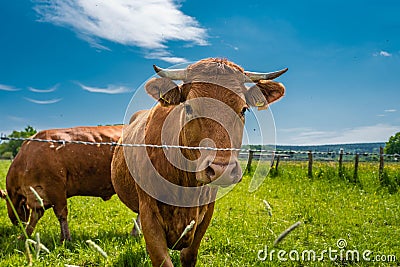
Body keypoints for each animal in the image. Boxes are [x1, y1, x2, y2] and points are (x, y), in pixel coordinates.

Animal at [111, 58, 286, 266]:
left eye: (244, 109)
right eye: (188, 107)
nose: (221, 170)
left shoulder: (206, 213)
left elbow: (189, 255)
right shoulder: (149, 212)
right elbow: (161, 258)